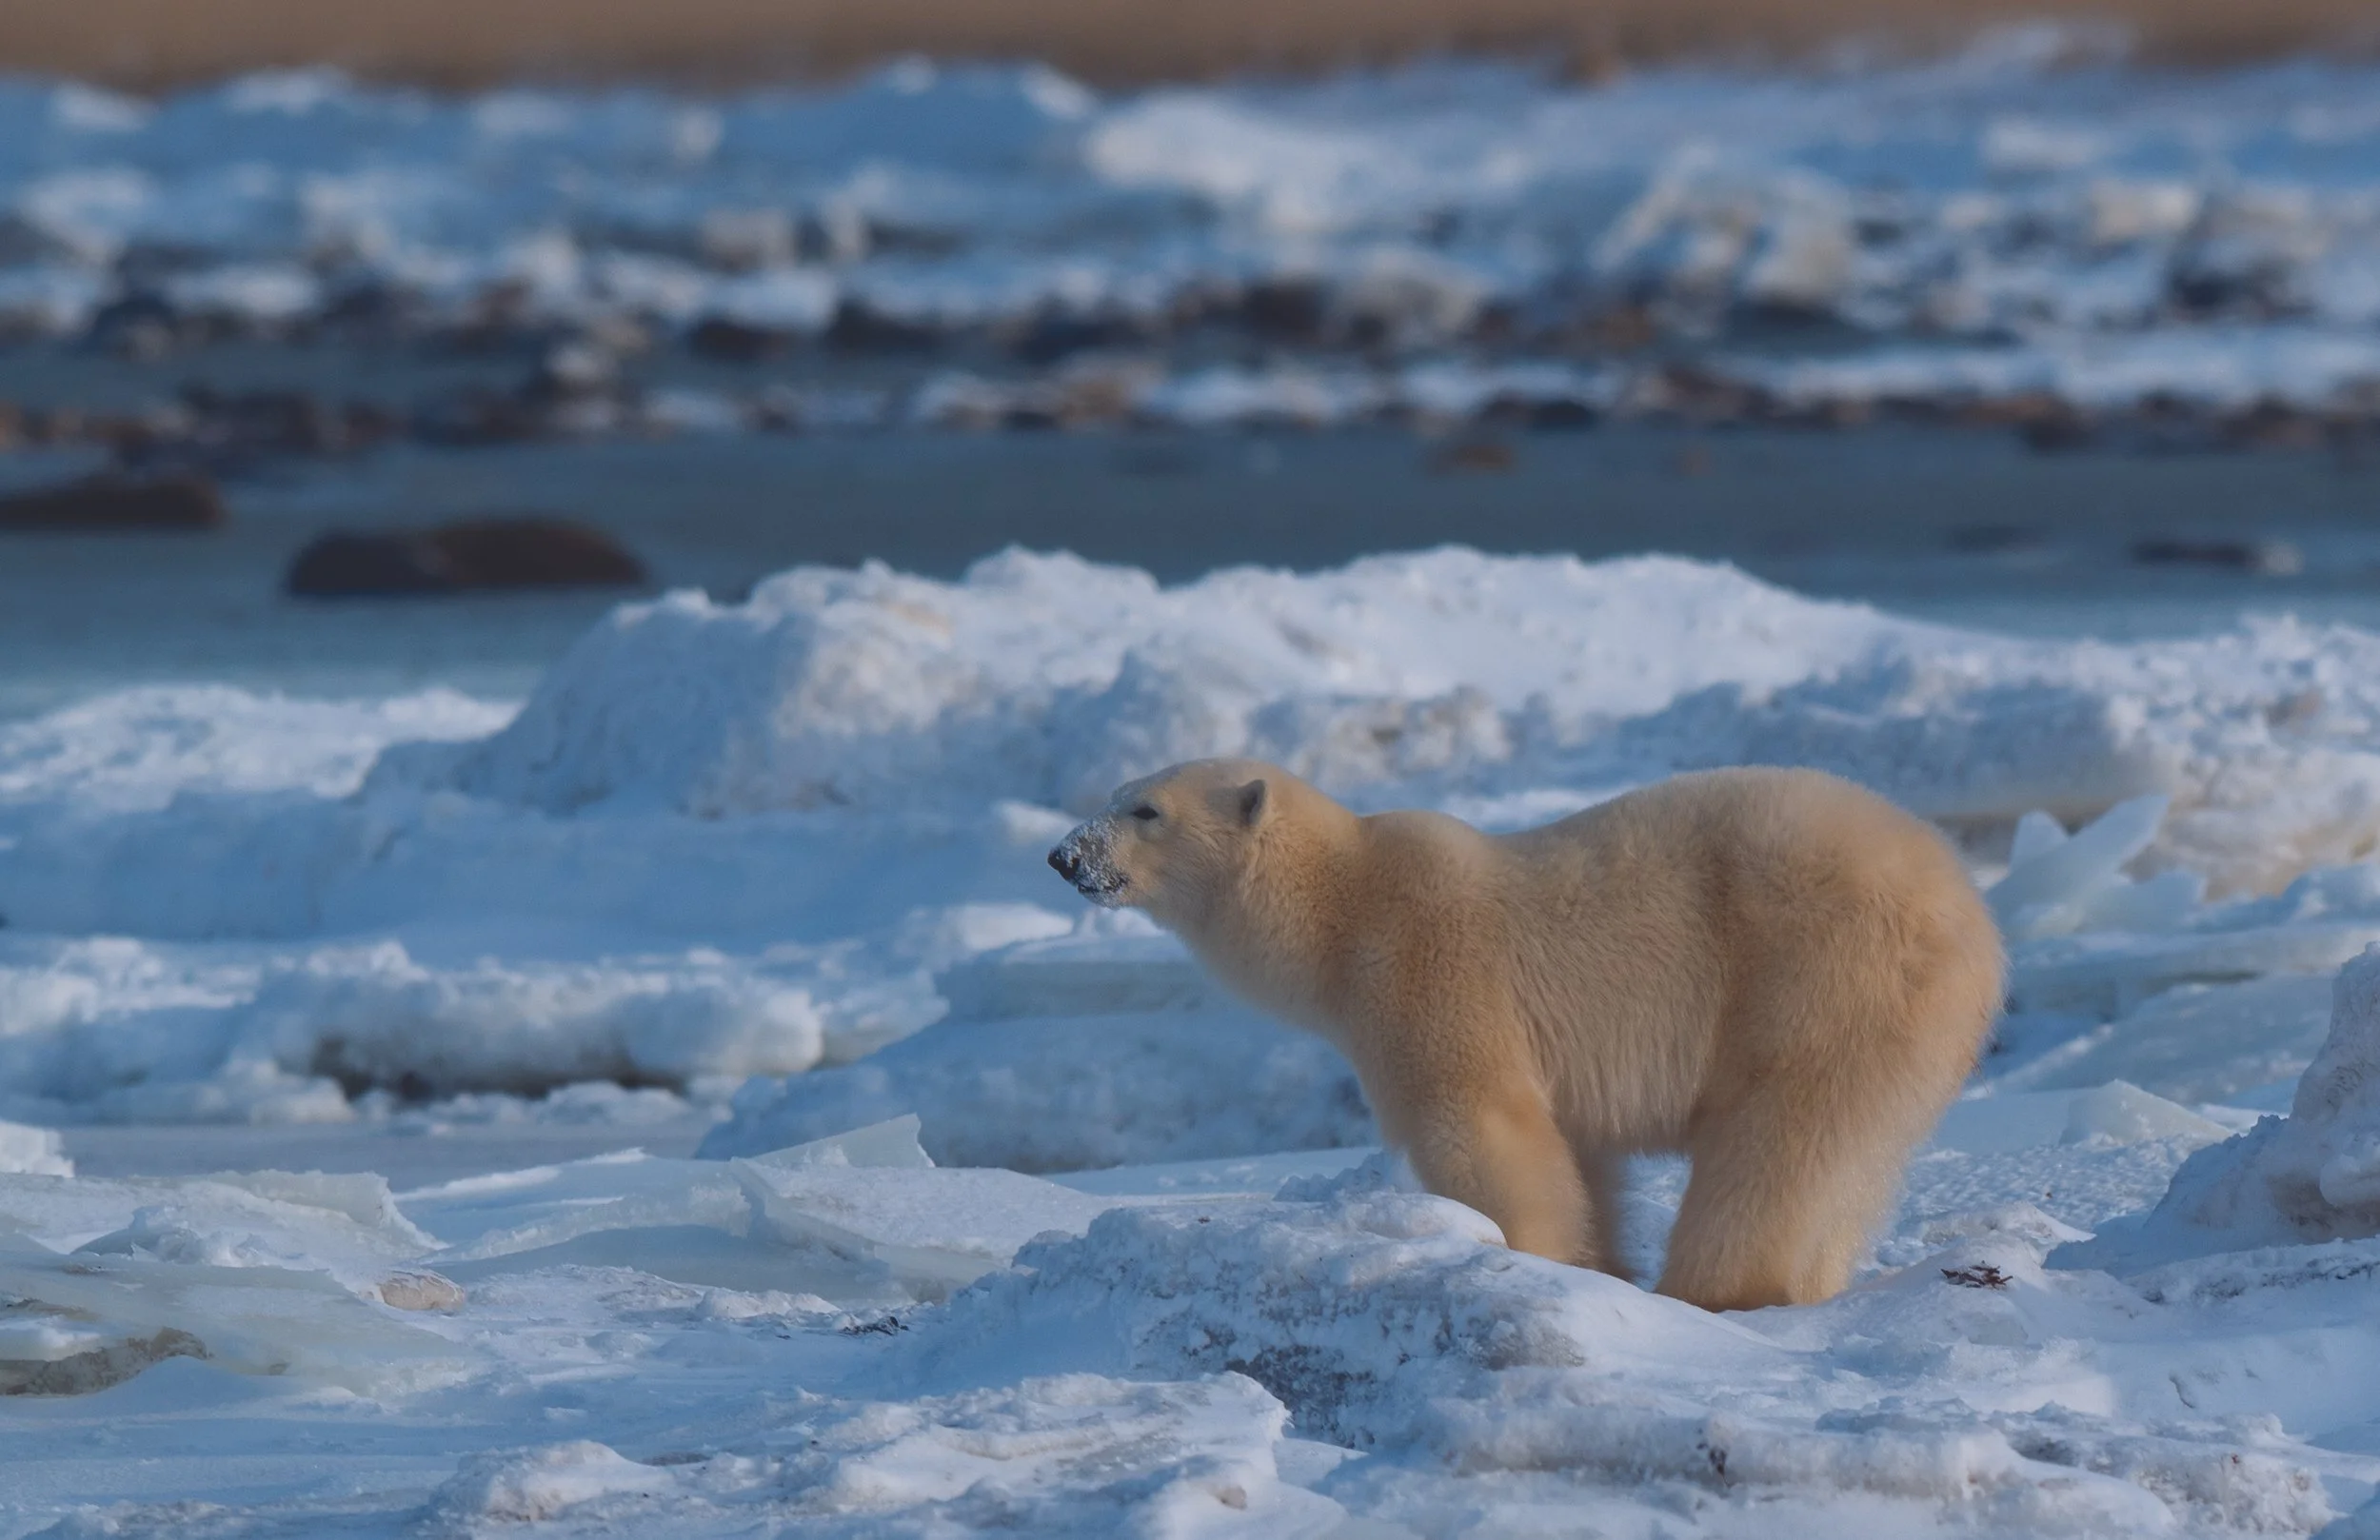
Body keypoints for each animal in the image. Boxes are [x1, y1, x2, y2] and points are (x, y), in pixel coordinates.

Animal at [1048, 760, 2003, 1311]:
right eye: (1113, 798)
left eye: (1144, 810)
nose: (1064, 856)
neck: (1341, 909)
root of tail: (1968, 912)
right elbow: (1580, 1151)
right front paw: (1602, 1266)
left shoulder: (1425, 968)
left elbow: (1482, 1125)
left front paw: (1536, 1262)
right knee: (1848, 1160)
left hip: (1818, 976)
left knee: (1775, 1142)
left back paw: (1714, 1292)